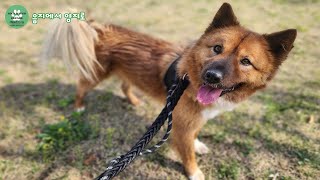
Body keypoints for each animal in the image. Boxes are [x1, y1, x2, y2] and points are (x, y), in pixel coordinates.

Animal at [41, 2, 296, 179]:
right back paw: (78, 107)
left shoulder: (192, 120)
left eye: (246, 62)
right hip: (96, 74)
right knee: (81, 86)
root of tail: (101, 28)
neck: (190, 82)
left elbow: (194, 137)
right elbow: (188, 154)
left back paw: (134, 101)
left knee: (124, 85)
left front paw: (198, 144)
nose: (211, 76)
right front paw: (194, 172)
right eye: (216, 48)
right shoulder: (182, 126)